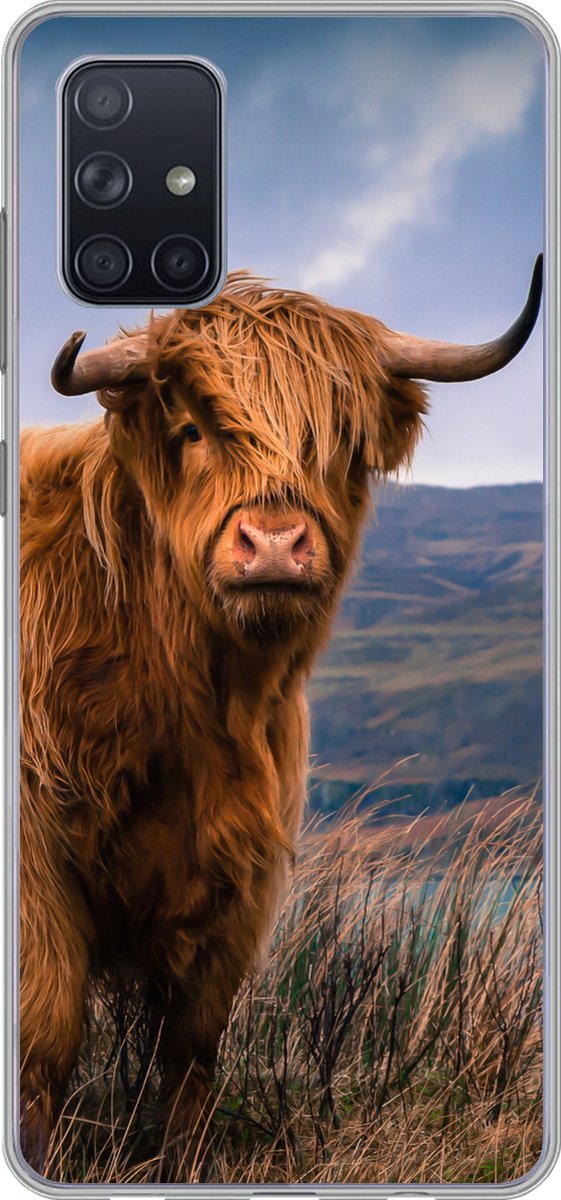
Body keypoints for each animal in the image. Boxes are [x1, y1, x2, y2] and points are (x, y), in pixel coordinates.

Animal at [19, 260, 542, 1176]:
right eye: (192, 429)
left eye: (339, 444)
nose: (271, 545)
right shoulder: (36, 868)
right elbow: (45, 1034)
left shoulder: (240, 874)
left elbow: (193, 1045)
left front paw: (185, 1170)